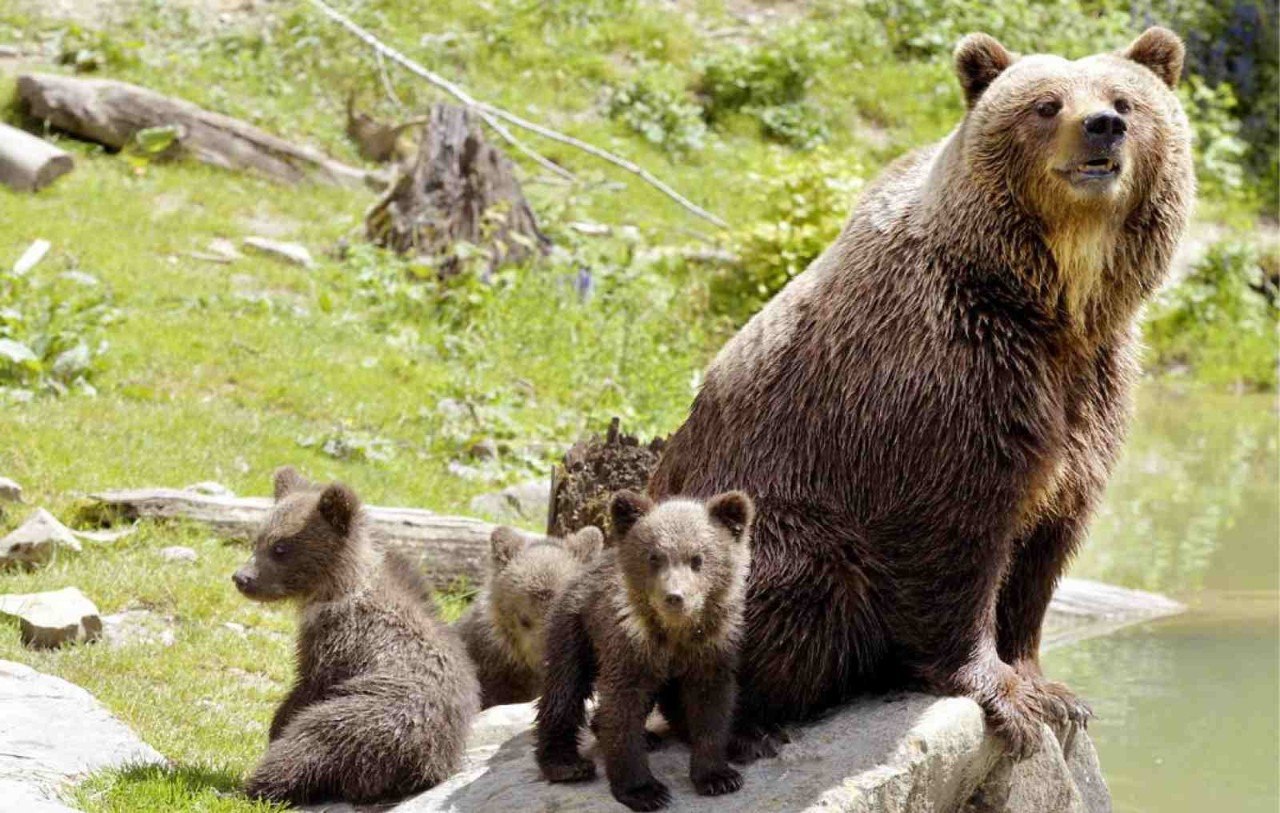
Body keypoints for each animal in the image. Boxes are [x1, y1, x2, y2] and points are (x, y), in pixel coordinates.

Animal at [655, 28, 1192, 757]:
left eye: (1126, 101)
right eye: (1047, 104)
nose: (1102, 127)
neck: (1052, 301)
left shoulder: (1092, 384)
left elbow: (1048, 539)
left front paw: (1053, 689)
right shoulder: (946, 372)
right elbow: (953, 534)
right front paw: (1007, 694)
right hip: (775, 520)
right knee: (797, 584)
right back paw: (745, 726)